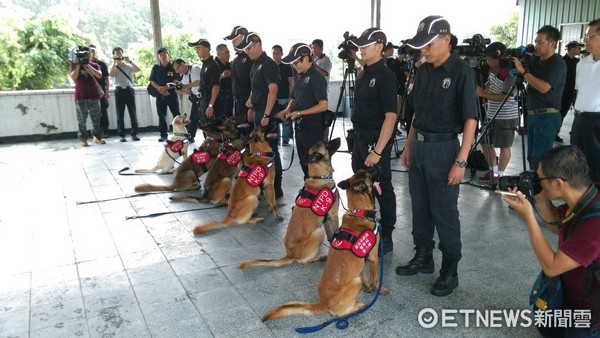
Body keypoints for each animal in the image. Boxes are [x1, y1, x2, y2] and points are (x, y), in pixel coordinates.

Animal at [239, 137, 342, 270]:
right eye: (327, 144)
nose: (339, 138)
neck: (318, 177)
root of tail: (289, 254)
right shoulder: (334, 216)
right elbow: (334, 234)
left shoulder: (326, 218)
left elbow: (330, 235)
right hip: (318, 233)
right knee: (303, 261)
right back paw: (320, 258)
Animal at [264, 168, 390, 320]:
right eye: (369, 172)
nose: (378, 166)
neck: (359, 214)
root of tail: (323, 303)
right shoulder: (373, 258)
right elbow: (376, 279)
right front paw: (378, 289)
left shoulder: (361, 263)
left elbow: (364, 276)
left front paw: (368, 287)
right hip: (354, 280)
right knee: (341, 313)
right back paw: (358, 307)